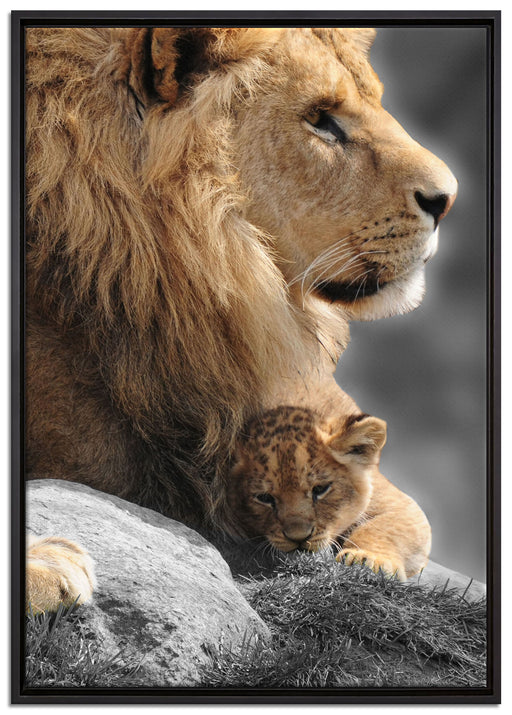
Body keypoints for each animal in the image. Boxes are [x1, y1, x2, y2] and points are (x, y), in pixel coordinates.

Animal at [226, 405, 431, 581]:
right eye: (265, 498)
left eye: (320, 489)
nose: (299, 538)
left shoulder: (401, 504)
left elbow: (381, 528)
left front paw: (366, 559)